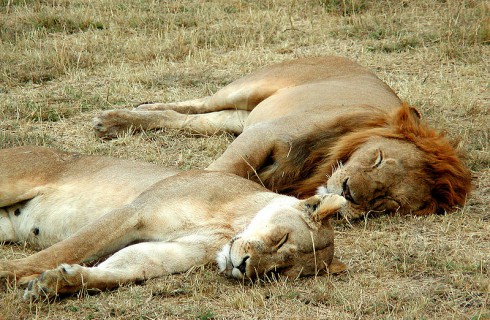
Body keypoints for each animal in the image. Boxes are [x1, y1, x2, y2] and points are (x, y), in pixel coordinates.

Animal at [0, 146, 344, 302]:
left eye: (276, 273)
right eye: (281, 238)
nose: (244, 266)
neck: (228, 227)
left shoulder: (171, 252)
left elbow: (124, 269)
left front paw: (56, 283)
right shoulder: (134, 212)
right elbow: (67, 248)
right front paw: (12, 273)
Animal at [92, 56, 470, 219]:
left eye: (387, 202)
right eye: (377, 158)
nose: (348, 192)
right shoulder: (264, 134)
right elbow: (221, 172)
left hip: (238, 118)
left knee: (190, 119)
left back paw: (118, 122)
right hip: (249, 89)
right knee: (196, 103)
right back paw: (116, 118)